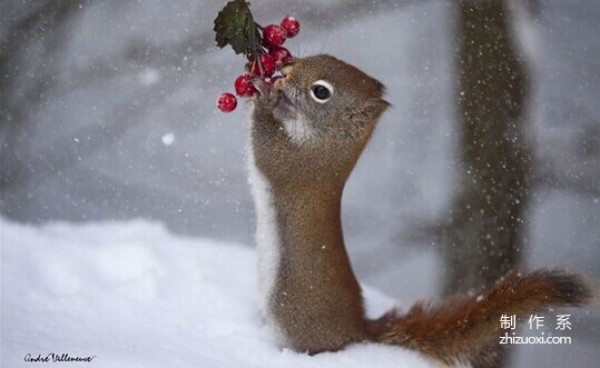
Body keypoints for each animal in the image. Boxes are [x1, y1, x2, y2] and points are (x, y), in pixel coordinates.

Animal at [246, 54, 592, 368]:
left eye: (320, 91)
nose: (285, 70)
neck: (331, 140)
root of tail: (359, 330)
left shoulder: (301, 167)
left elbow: (267, 150)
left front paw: (263, 99)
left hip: (292, 313)